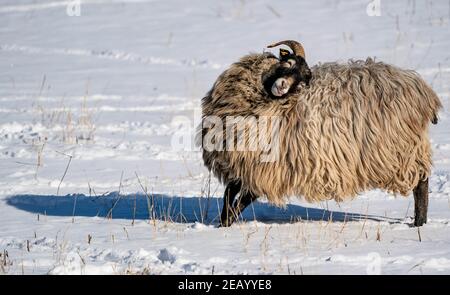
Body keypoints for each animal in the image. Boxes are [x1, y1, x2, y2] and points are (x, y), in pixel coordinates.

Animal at [198, 40, 442, 228]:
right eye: (287, 62)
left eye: (303, 79)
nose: (282, 86)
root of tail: (421, 91)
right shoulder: (240, 165)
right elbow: (229, 197)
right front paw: (222, 225)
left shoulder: (266, 171)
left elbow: (240, 203)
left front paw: (226, 226)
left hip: (399, 150)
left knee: (421, 182)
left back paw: (419, 223)